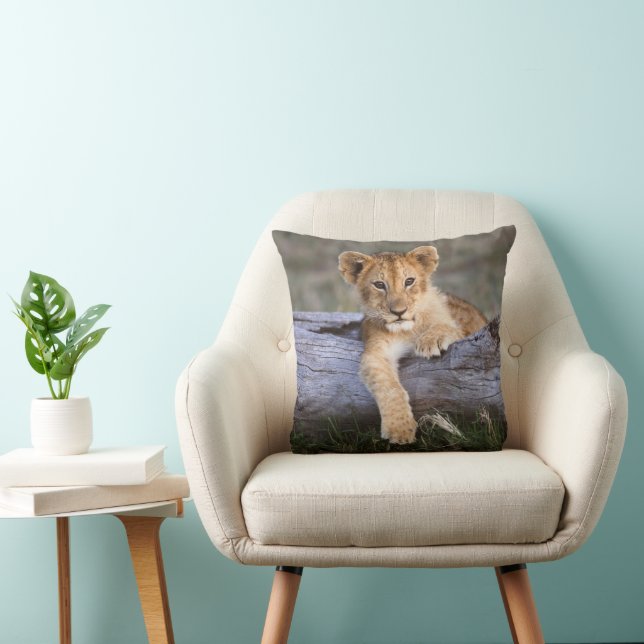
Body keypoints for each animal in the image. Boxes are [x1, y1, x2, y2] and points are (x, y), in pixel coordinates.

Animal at [338, 245, 487, 444]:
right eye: (379, 285)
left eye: (409, 281)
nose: (399, 312)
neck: (407, 330)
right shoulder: (376, 352)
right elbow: (390, 388)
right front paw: (399, 430)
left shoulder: (462, 333)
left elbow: (446, 326)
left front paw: (430, 341)